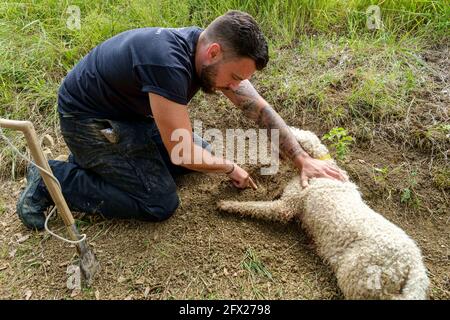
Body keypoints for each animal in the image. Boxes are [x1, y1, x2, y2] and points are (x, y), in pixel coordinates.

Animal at [218, 127, 428, 300]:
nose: (271, 151)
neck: (317, 163)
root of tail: (414, 266)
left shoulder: (285, 207)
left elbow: (255, 206)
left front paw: (227, 204)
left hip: (358, 277)